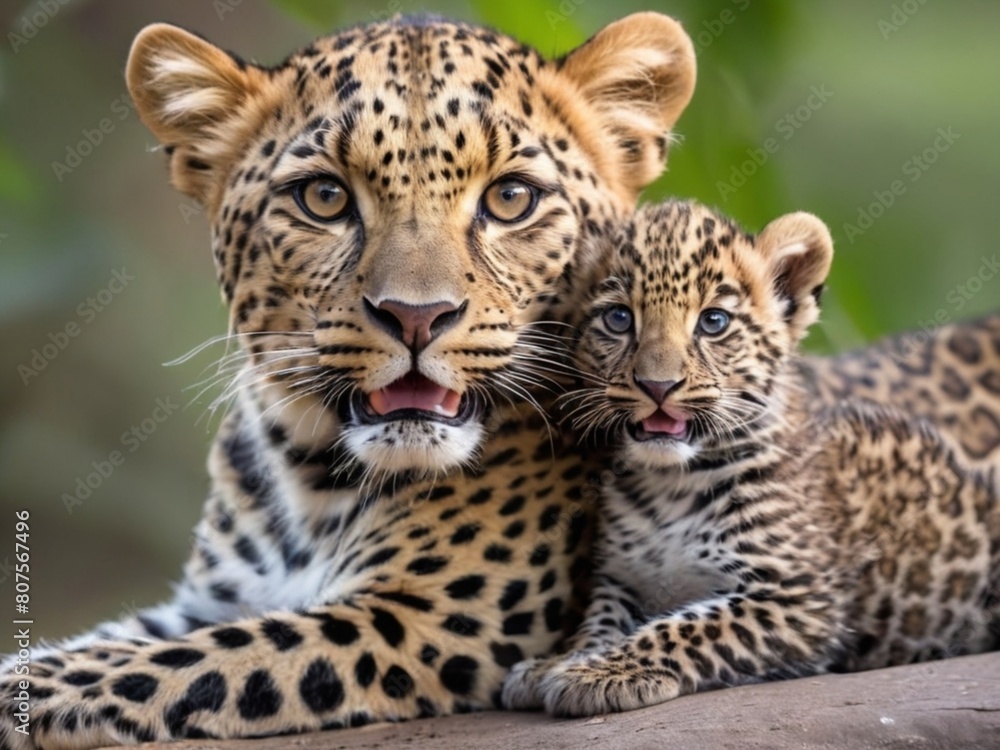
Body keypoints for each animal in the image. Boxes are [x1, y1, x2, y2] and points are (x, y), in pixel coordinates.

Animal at [0, 13, 698, 749]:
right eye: (325, 197)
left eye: (511, 198)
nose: (417, 316)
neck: (307, 474)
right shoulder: (207, 600)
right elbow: (116, 641)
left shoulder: (425, 615)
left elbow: (178, 660)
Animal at [502, 199, 1000, 717]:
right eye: (618, 318)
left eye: (713, 322)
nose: (658, 386)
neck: (669, 484)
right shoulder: (622, 581)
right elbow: (597, 624)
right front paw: (559, 661)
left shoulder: (797, 595)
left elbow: (686, 628)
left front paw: (599, 673)